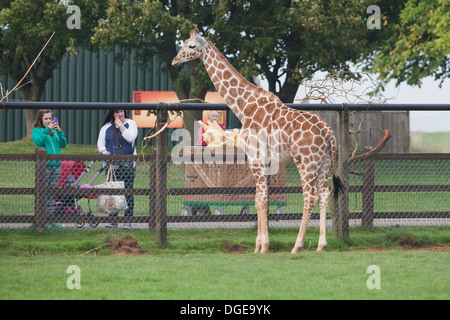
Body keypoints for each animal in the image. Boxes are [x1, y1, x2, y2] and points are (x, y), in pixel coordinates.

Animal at [171, 31, 342, 254]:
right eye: (182, 43)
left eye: (191, 46)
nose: (175, 60)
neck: (245, 106)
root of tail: (328, 133)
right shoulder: (266, 161)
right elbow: (263, 199)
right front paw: (261, 245)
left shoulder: (255, 157)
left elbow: (259, 199)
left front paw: (261, 247)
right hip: (324, 162)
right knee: (324, 193)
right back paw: (321, 245)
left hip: (306, 161)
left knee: (310, 196)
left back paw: (297, 246)